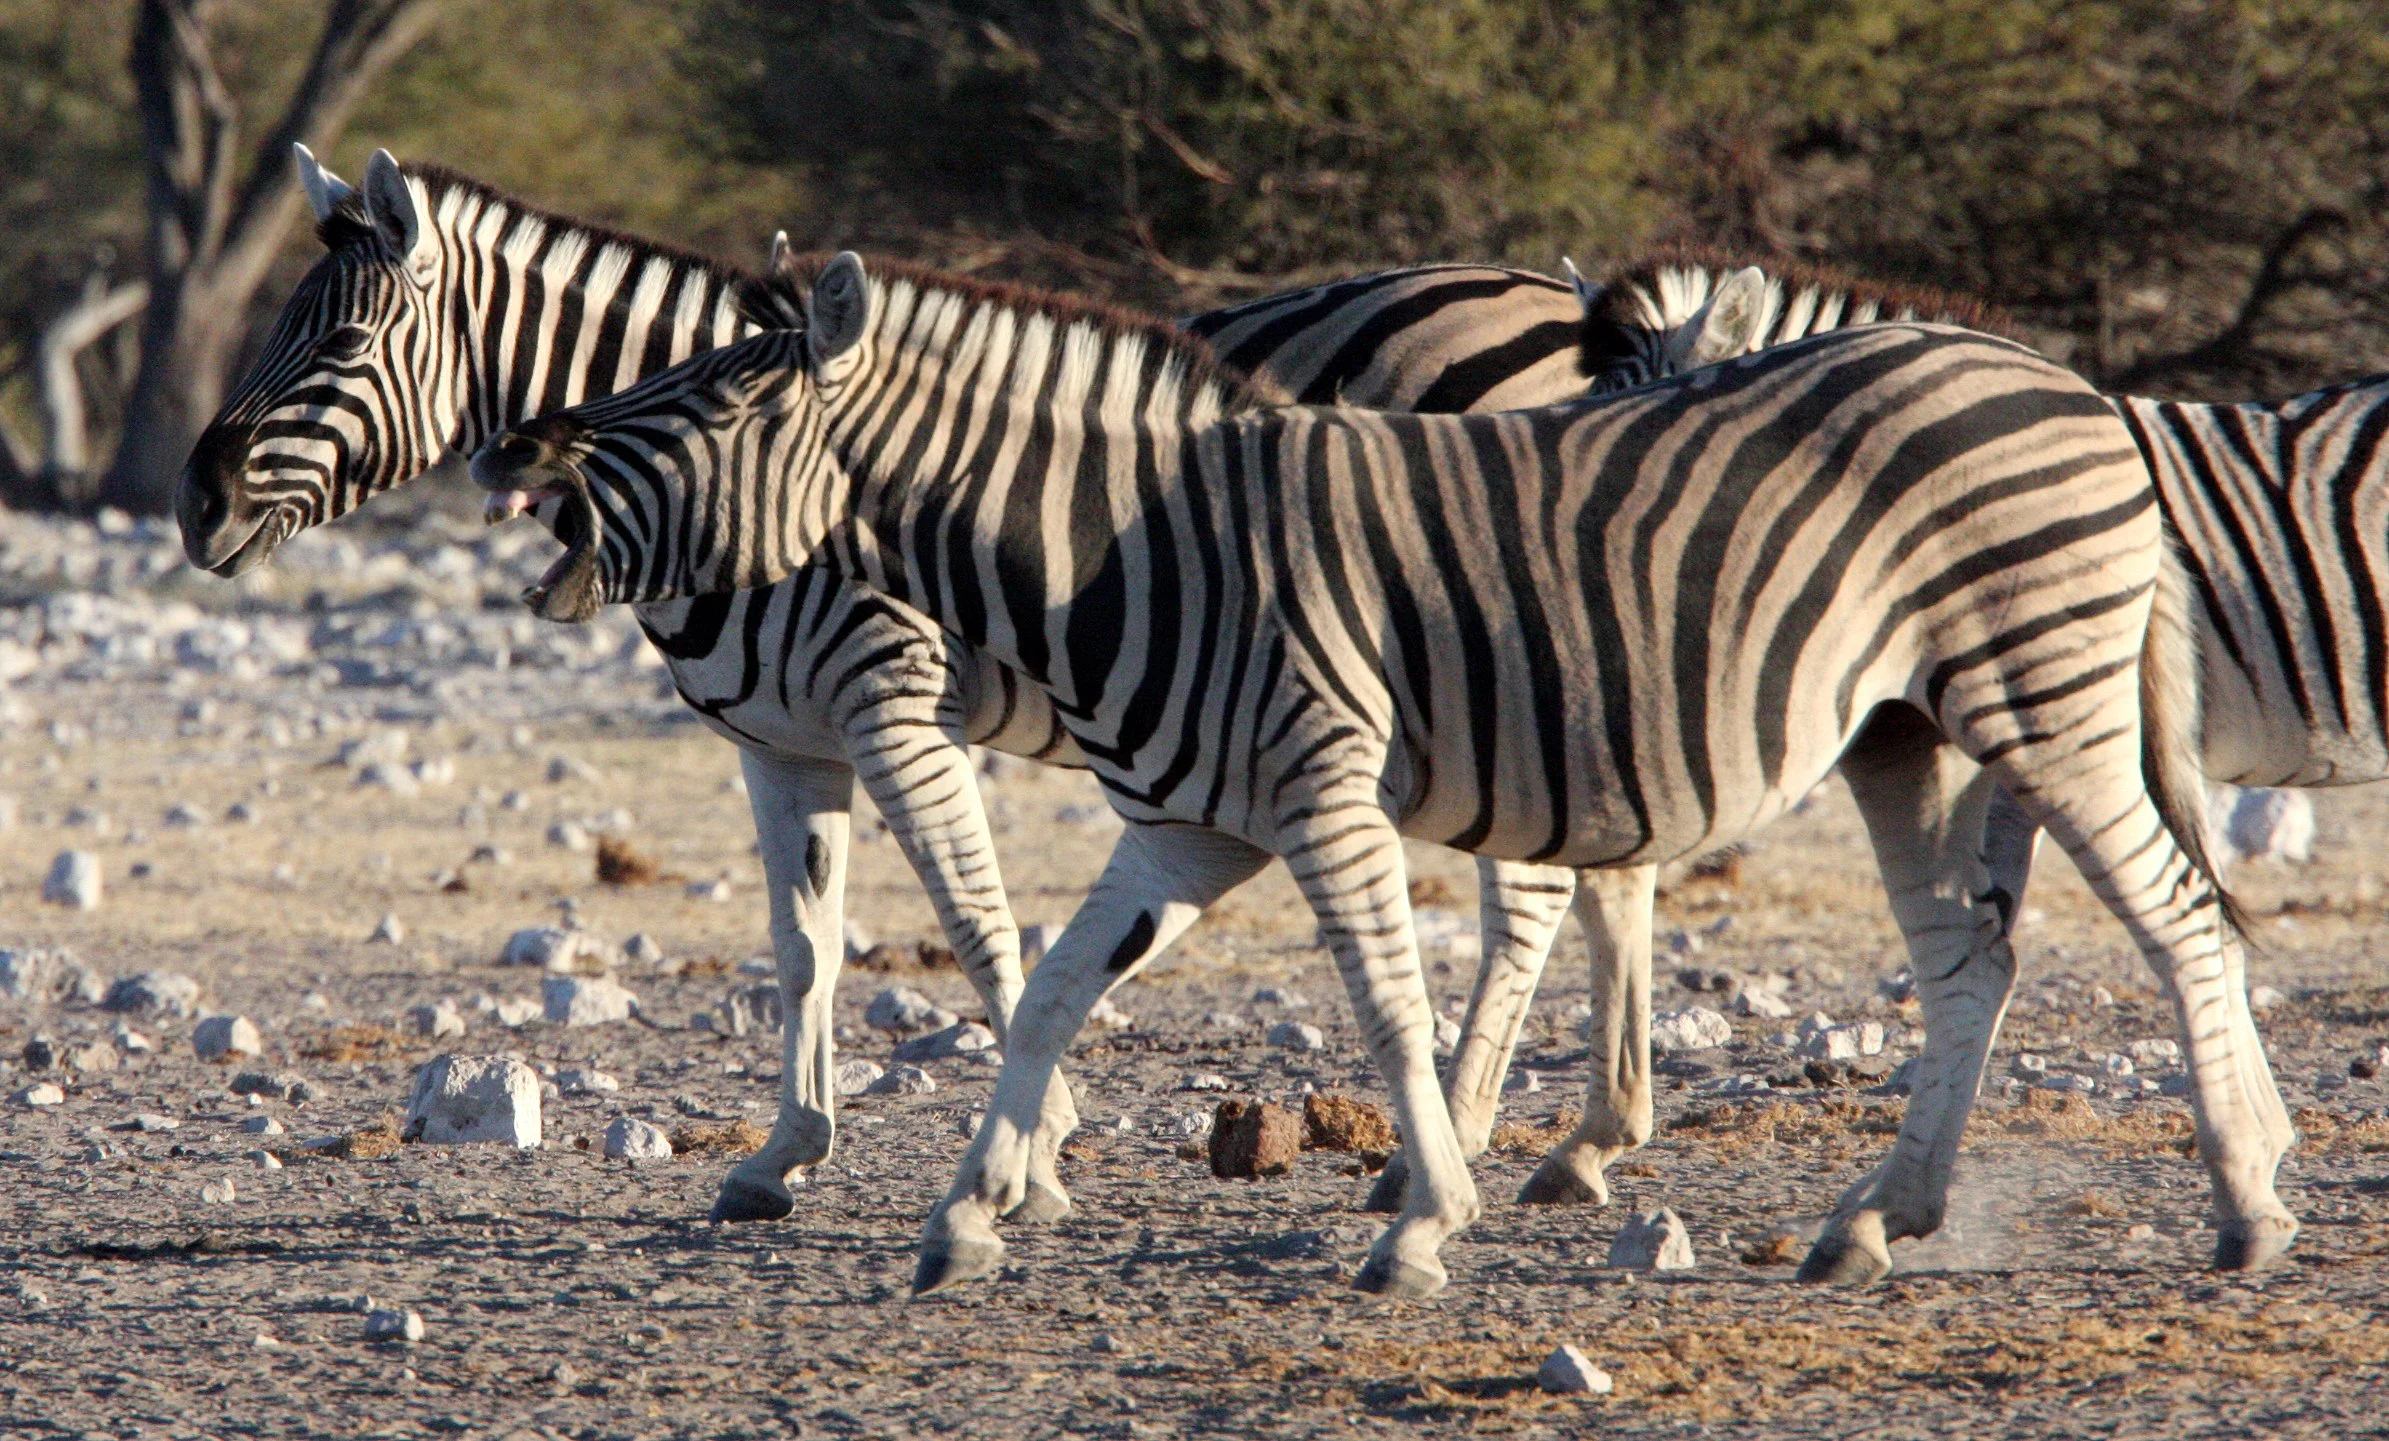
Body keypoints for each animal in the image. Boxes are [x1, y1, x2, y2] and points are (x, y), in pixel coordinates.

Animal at [171, 149, 1647, 1231]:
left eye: (339, 345)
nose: (193, 505)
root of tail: (1559, 304)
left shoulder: (895, 700)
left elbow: (982, 930)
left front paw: (1033, 1155)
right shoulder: (783, 741)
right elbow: (804, 944)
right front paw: (785, 1150)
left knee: (1534, 891)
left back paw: (1449, 1145)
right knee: (1601, 869)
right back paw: (1578, 1141)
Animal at [466, 252, 2293, 1299]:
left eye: (704, 401)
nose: (517, 462)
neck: (1127, 553)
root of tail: (2071, 383)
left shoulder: (1318, 788)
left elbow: (1386, 1005)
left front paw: (1420, 1225)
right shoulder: (1184, 827)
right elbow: (1051, 986)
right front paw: (976, 1208)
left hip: (2038, 694)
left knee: (2181, 921)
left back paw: (2243, 1207)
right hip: (1902, 728)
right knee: (1969, 958)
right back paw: (1876, 1219)